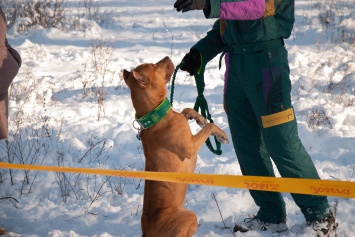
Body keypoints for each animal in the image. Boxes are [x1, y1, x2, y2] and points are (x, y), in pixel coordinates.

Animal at [124, 57, 229, 237]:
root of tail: (147, 232)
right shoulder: (190, 147)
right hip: (188, 216)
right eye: (154, 66)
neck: (155, 115)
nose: (167, 57)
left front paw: (199, 117)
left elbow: (186, 110)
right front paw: (221, 134)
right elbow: (210, 127)